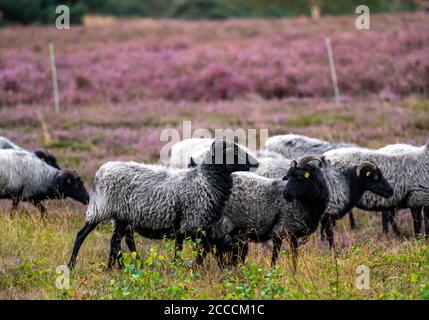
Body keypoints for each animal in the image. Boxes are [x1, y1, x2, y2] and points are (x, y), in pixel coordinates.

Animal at [67, 140, 258, 270]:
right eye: (234, 152)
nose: (255, 163)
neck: (205, 180)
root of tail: (101, 171)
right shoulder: (192, 223)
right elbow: (199, 249)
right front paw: (192, 269)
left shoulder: (185, 226)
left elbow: (188, 249)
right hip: (101, 208)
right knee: (82, 235)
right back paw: (72, 265)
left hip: (121, 216)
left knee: (116, 241)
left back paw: (117, 267)